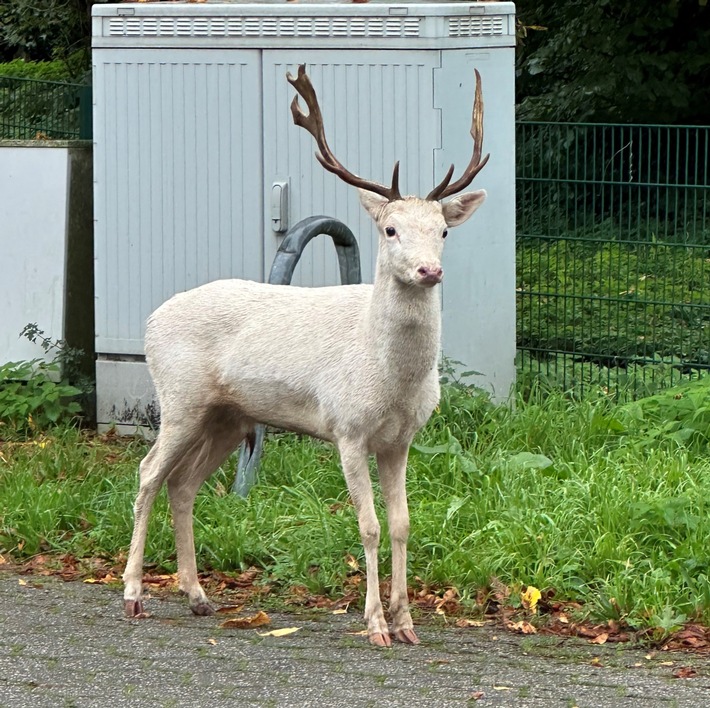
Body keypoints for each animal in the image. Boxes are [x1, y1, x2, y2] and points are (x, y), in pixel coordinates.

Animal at [122, 63, 490, 644]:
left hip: (228, 415)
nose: (430, 269)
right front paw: (375, 624)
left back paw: (198, 596)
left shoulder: (401, 439)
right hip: (179, 396)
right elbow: (368, 525)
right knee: (148, 474)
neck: (392, 379)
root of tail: (151, 320)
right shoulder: (348, 427)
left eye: (444, 231)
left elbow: (403, 524)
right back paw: (134, 594)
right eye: (390, 229)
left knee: (183, 484)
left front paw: (407, 623)